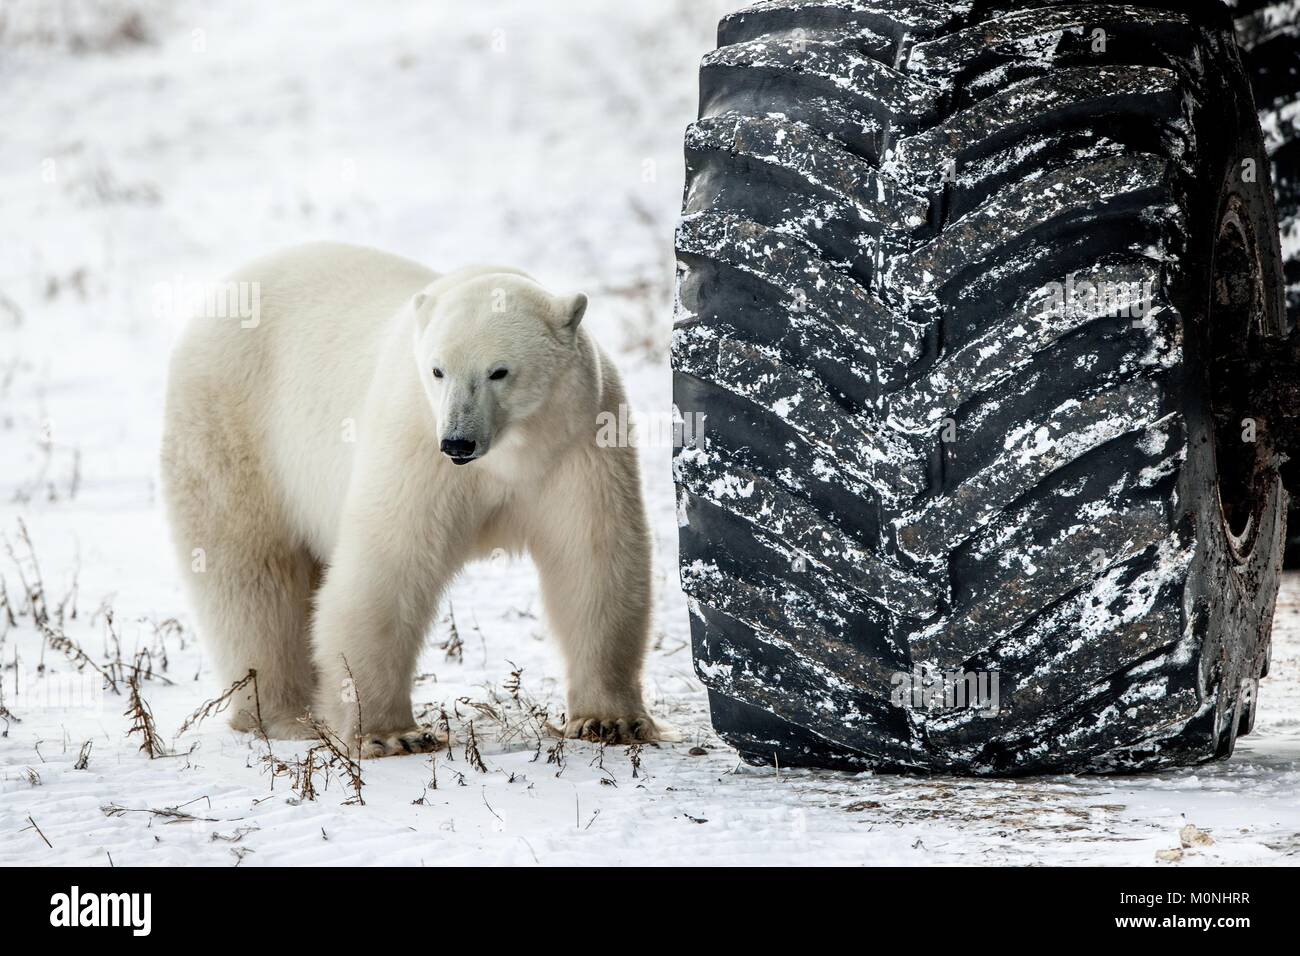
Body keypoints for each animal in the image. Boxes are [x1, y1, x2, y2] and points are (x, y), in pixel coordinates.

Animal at [158, 243, 655, 759]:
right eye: (438, 370)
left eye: (499, 371)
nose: (457, 442)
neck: (509, 455)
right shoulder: (416, 445)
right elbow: (390, 564)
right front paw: (391, 733)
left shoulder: (578, 443)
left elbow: (593, 561)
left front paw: (609, 720)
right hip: (234, 427)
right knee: (253, 574)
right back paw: (283, 713)